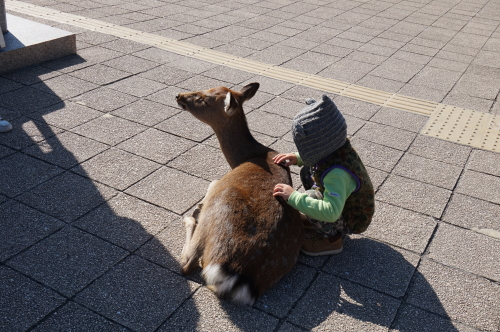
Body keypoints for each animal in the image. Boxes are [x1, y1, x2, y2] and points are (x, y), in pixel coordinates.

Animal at [176, 81, 302, 304]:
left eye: (202, 99)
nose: (179, 95)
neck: (248, 156)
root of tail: (237, 275)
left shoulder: (218, 183)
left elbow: (211, 182)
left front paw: (196, 207)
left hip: (218, 203)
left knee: (187, 263)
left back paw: (190, 219)